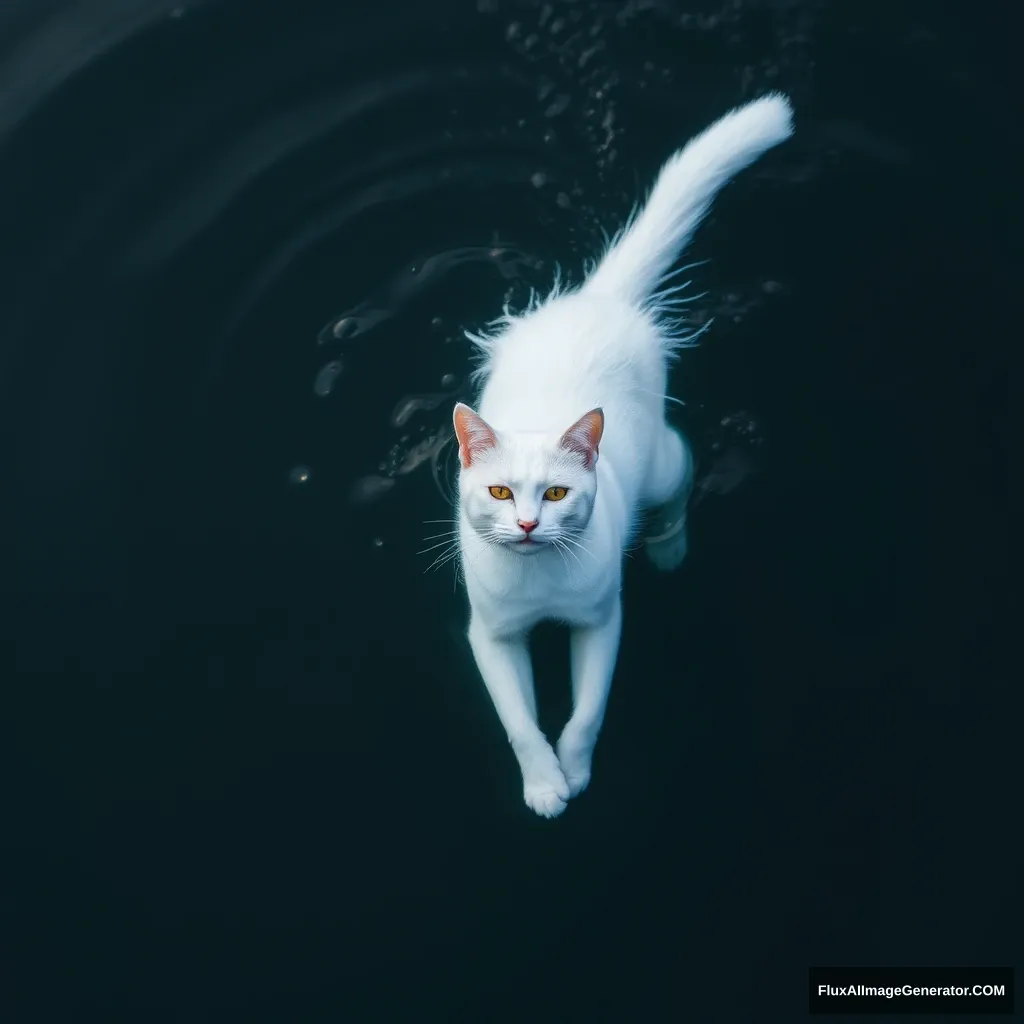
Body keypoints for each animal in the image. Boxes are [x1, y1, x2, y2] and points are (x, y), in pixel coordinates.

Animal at [452, 94, 794, 815]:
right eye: (500, 493)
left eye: (556, 494)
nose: (529, 524)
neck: (540, 582)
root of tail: (598, 298)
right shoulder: (491, 635)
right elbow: (519, 722)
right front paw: (544, 785)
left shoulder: (602, 620)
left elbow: (586, 715)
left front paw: (575, 773)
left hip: (661, 464)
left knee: (682, 468)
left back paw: (669, 548)